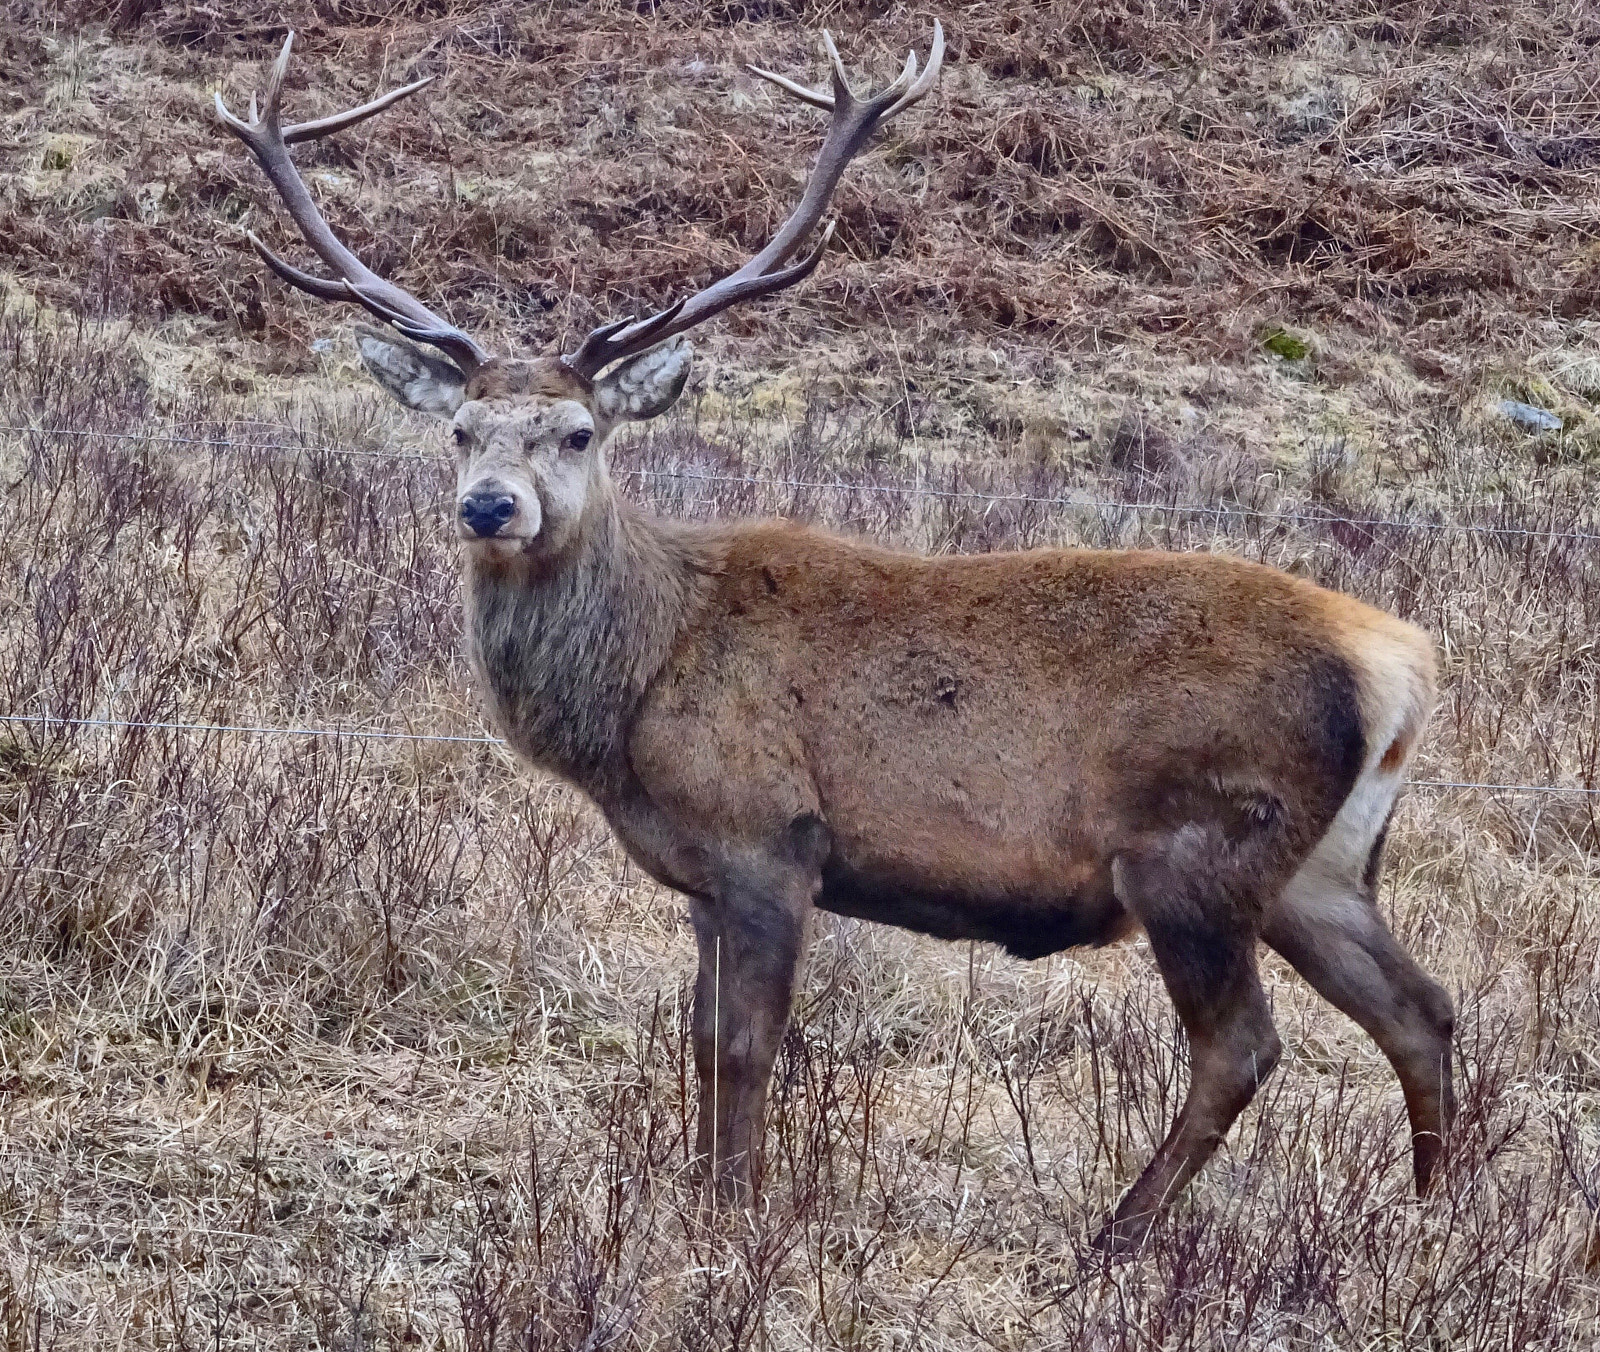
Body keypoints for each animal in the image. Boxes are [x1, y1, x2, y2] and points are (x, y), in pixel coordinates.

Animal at [215, 26, 1456, 1255]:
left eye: (576, 431)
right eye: (462, 429)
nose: (488, 507)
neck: (637, 687)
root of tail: (1397, 662)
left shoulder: (770, 833)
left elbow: (746, 1041)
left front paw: (734, 1217)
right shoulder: (704, 871)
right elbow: (702, 1036)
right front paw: (697, 1192)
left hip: (1197, 844)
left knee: (1240, 1044)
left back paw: (1118, 1235)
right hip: (1321, 866)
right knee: (1421, 1006)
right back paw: (1431, 1221)